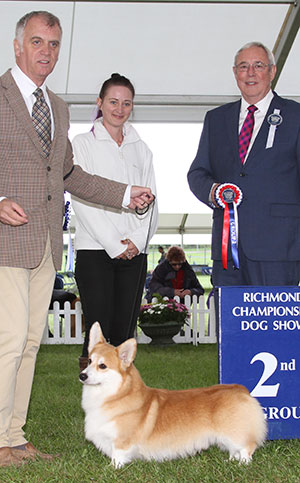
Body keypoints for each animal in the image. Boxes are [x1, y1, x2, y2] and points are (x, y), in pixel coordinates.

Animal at [78, 326, 266, 468]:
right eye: (89, 361)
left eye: (103, 366)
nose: (82, 376)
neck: (115, 393)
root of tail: (241, 389)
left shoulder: (121, 441)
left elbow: (117, 457)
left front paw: (111, 468)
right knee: (235, 450)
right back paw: (231, 461)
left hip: (234, 433)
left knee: (246, 448)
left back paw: (242, 464)